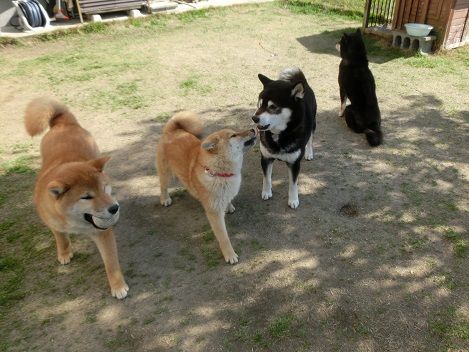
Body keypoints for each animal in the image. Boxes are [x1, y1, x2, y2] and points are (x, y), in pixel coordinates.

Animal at [24, 97, 128, 298]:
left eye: (104, 189)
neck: (74, 221)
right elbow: (61, 238)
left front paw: (118, 286)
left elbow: (111, 263)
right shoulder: (54, 224)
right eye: (86, 197)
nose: (114, 208)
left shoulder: (102, 233)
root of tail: (62, 122)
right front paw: (64, 253)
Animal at [156, 112, 256, 264]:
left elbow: (227, 200)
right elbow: (224, 238)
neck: (219, 172)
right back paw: (165, 199)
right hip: (168, 175)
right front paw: (230, 255)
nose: (253, 129)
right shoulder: (214, 213)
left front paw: (229, 206)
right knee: (162, 185)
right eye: (233, 135)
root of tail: (172, 130)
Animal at [250, 67, 316, 208]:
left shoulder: (294, 163)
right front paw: (266, 192)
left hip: (313, 124)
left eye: (273, 107)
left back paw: (309, 153)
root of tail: (303, 82)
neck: (280, 135)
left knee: (310, 140)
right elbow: (267, 178)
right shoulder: (266, 158)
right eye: (259, 104)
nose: (254, 118)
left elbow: (293, 184)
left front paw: (293, 199)